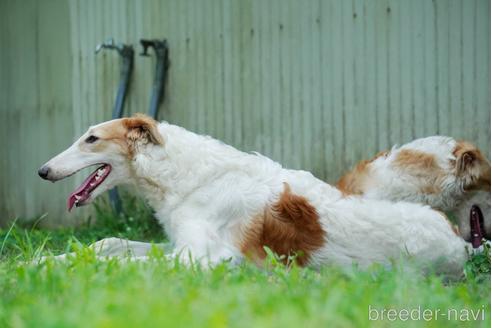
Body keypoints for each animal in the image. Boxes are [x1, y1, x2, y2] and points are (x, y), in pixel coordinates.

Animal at [37, 114, 468, 276]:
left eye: (91, 139)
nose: (42, 171)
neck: (190, 176)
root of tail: (463, 242)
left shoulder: (204, 258)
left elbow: (116, 261)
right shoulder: (178, 246)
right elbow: (107, 244)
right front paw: (40, 260)